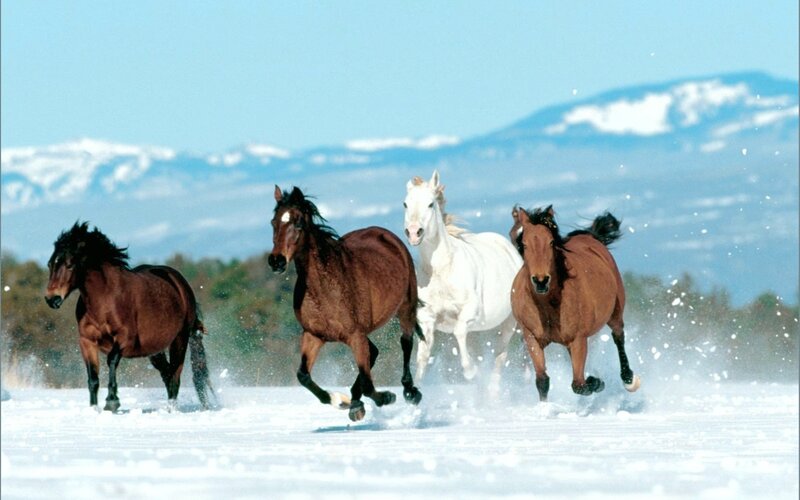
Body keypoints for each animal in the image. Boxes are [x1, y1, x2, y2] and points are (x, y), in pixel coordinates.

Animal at [44, 222, 215, 411]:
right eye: (50, 264)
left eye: (69, 265)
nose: (52, 299)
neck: (104, 299)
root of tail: (180, 284)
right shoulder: (87, 341)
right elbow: (93, 378)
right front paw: (94, 409)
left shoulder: (125, 339)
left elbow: (111, 360)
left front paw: (112, 401)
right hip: (155, 349)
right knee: (167, 373)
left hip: (180, 339)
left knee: (174, 376)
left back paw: (172, 409)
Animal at [267, 186, 422, 422]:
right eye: (273, 222)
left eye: (298, 222)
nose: (276, 261)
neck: (325, 289)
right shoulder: (313, 335)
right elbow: (303, 376)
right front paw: (341, 401)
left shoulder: (355, 335)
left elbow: (368, 384)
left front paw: (386, 397)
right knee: (374, 353)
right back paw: (355, 403)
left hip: (406, 308)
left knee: (405, 343)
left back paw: (410, 392)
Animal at [403, 170, 522, 387]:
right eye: (405, 204)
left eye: (431, 204)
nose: (414, 232)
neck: (442, 271)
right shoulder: (427, 319)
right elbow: (423, 357)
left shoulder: (469, 311)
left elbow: (459, 332)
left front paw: (471, 371)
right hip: (479, 331)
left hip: (508, 324)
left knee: (500, 357)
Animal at [510, 206, 641, 401]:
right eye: (524, 244)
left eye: (551, 242)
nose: (541, 281)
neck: (548, 305)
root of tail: (590, 237)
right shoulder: (532, 338)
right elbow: (542, 381)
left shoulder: (578, 339)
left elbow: (578, 384)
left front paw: (596, 382)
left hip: (615, 312)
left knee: (618, 336)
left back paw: (629, 380)